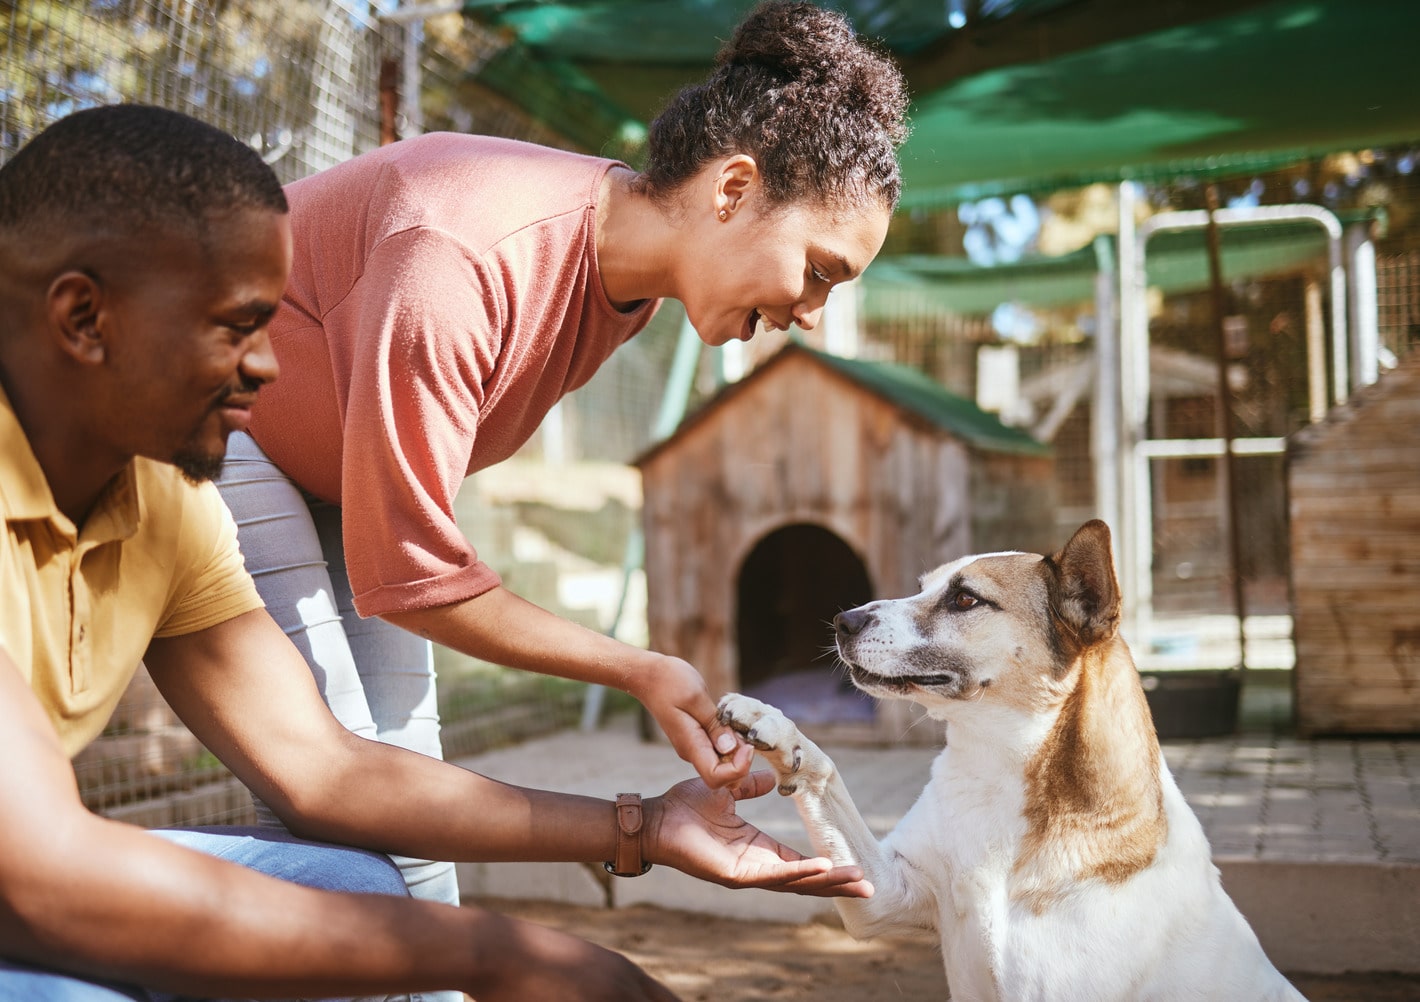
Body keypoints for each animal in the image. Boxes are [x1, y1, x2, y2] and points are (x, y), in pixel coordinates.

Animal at [721, 519, 1306, 993]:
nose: (843, 620)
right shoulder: (885, 894)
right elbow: (824, 770)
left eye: (965, 600)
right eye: (922, 588)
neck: (998, 770)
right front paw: (773, 725)